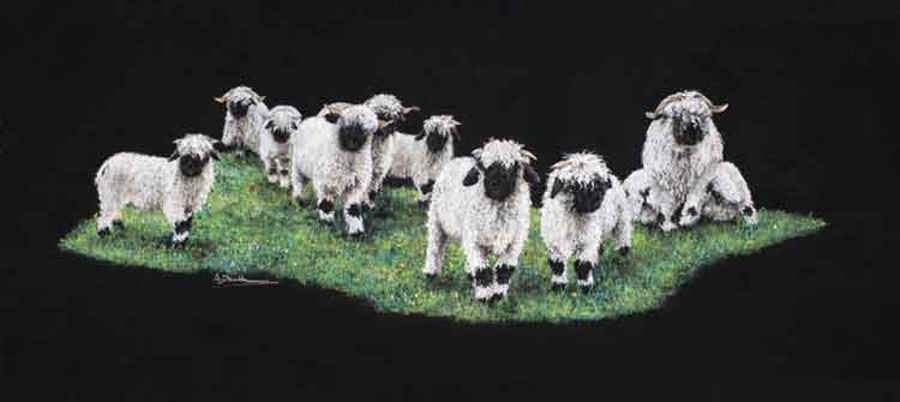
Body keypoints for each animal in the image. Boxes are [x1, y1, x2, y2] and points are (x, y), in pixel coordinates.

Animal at [290, 104, 385, 237]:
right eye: (346, 125)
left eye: (367, 132)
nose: (353, 142)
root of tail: (311, 119)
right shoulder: (326, 183)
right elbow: (326, 204)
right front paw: (327, 224)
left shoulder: (355, 187)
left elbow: (353, 209)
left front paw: (357, 233)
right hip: (297, 167)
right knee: (298, 183)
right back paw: (299, 200)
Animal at [422, 138, 540, 302]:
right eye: (484, 167)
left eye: (514, 165)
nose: (495, 184)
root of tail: (457, 160)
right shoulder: (475, 242)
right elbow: (482, 270)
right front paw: (485, 297)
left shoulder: (513, 245)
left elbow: (504, 270)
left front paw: (498, 295)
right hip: (436, 222)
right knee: (434, 248)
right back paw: (430, 273)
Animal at [540, 152, 632, 291]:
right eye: (574, 186)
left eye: (598, 183)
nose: (597, 199)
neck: (574, 216)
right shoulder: (555, 240)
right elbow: (557, 264)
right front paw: (558, 286)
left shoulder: (587, 240)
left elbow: (583, 264)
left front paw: (586, 288)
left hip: (621, 219)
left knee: (623, 236)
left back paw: (623, 254)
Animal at [625, 89, 756, 230]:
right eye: (677, 115)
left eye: (701, 114)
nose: (693, 125)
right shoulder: (666, 188)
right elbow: (665, 207)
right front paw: (670, 224)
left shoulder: (704, 178)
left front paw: (686, 219)